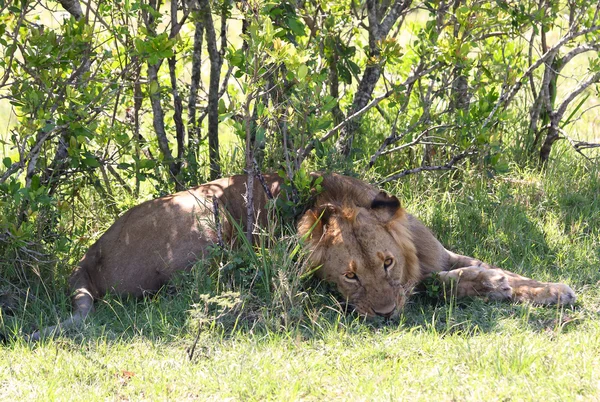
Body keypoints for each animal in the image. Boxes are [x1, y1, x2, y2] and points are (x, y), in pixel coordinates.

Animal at [30, 173, 576, 340]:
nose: (385, 316)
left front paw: (552, 290)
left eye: (386, 263)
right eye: (349, 278)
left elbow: (491, 266)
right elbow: (443, 283)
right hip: (201, 216)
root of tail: (90, 253)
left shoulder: (435, 252)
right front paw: (489, 286)